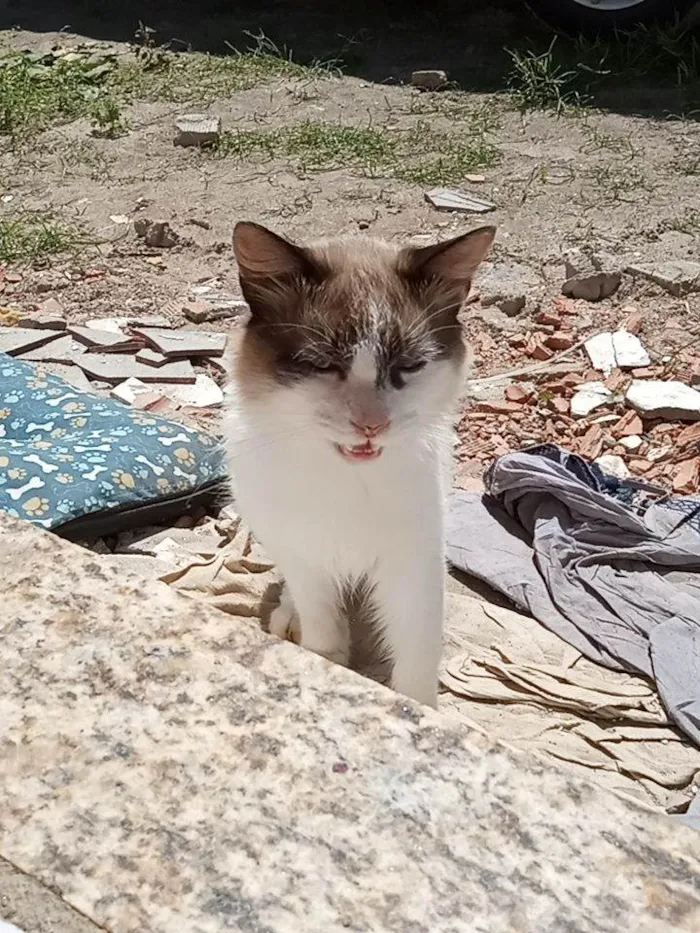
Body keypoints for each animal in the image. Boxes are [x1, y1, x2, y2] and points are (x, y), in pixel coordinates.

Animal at [227, 222, 494, 708]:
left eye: (410, 366)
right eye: (322, 365)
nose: (372, 425)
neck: (347, 479)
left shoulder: (414, 565)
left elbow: (417, 659)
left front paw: (419, 711)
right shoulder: (305, 556)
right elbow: (322, 625)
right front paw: (329, 667)